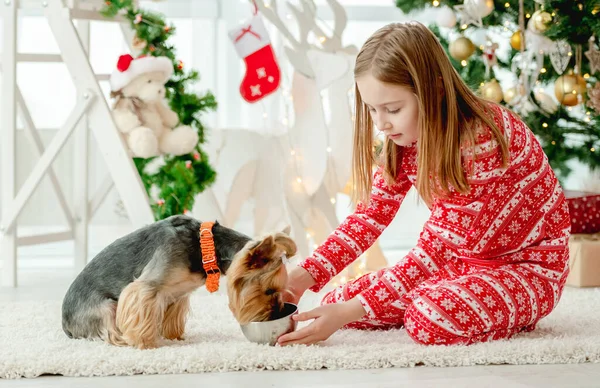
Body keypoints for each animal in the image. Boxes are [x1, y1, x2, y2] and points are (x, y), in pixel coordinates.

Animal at [62, 214, 296, 350]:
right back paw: (121, 339)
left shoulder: (176, 295)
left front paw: (174, 336)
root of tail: (65, 326)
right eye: (269, 291)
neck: (206, 247)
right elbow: (139, 300)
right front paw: (146, 343)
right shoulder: (147, 287)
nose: (276, 313)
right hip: (105, 308)